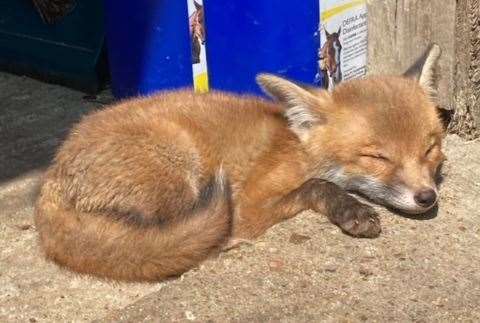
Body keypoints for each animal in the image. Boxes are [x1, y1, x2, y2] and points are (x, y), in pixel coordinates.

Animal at [34, 44, 446, 282]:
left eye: (429, 149)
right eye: (377, 156)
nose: (427, 198)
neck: (297, 147)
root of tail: (50, 178)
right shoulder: (250, 203)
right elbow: (316, 186)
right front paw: (351, 209)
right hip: (182, 173)